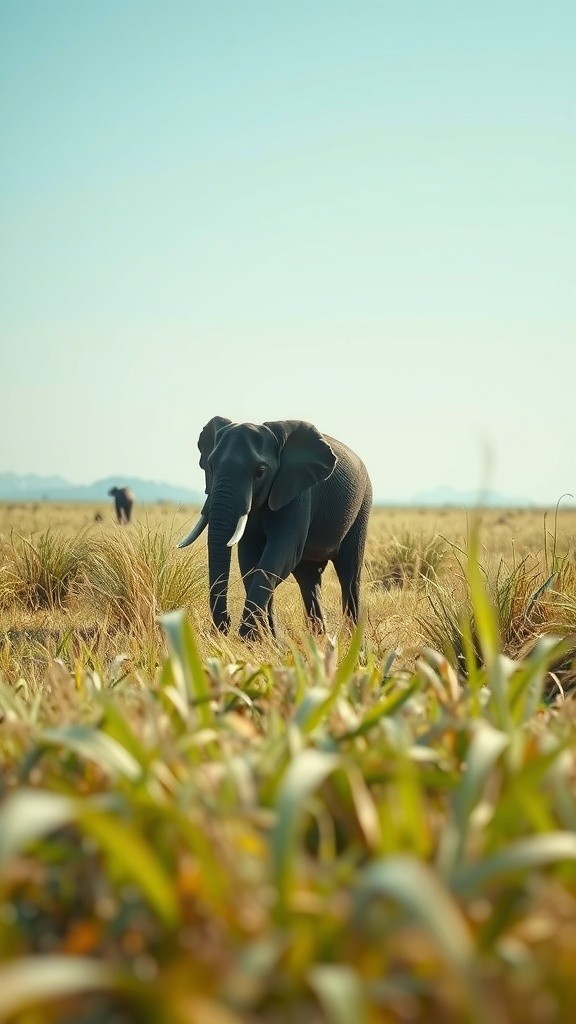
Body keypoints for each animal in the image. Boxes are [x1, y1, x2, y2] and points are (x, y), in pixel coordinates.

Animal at [178, 417, 372, 638]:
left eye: (260, 472)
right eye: (210, 466)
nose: (224, 625)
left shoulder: (297, 494)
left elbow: (280, 555)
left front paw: (248, 638)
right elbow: (251, 562)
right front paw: (267, 639)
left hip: (363, 505)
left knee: (349, 574)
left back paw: (350, 640)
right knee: (308, 578)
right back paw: (319, 638)